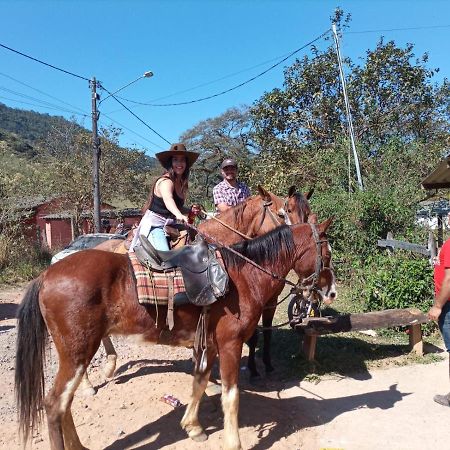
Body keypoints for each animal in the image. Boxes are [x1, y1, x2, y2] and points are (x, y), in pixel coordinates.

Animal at [15, 219, 336, 450]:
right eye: (327, 253)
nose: (331, 292)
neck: (242, 277)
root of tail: (46, 275)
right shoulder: (231, 345)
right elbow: (231, 396)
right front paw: (233, 443)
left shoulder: (209, 345)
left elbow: (200, 381)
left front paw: (193, 427)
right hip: (77, 353)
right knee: (54, 404)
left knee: (63, 403)